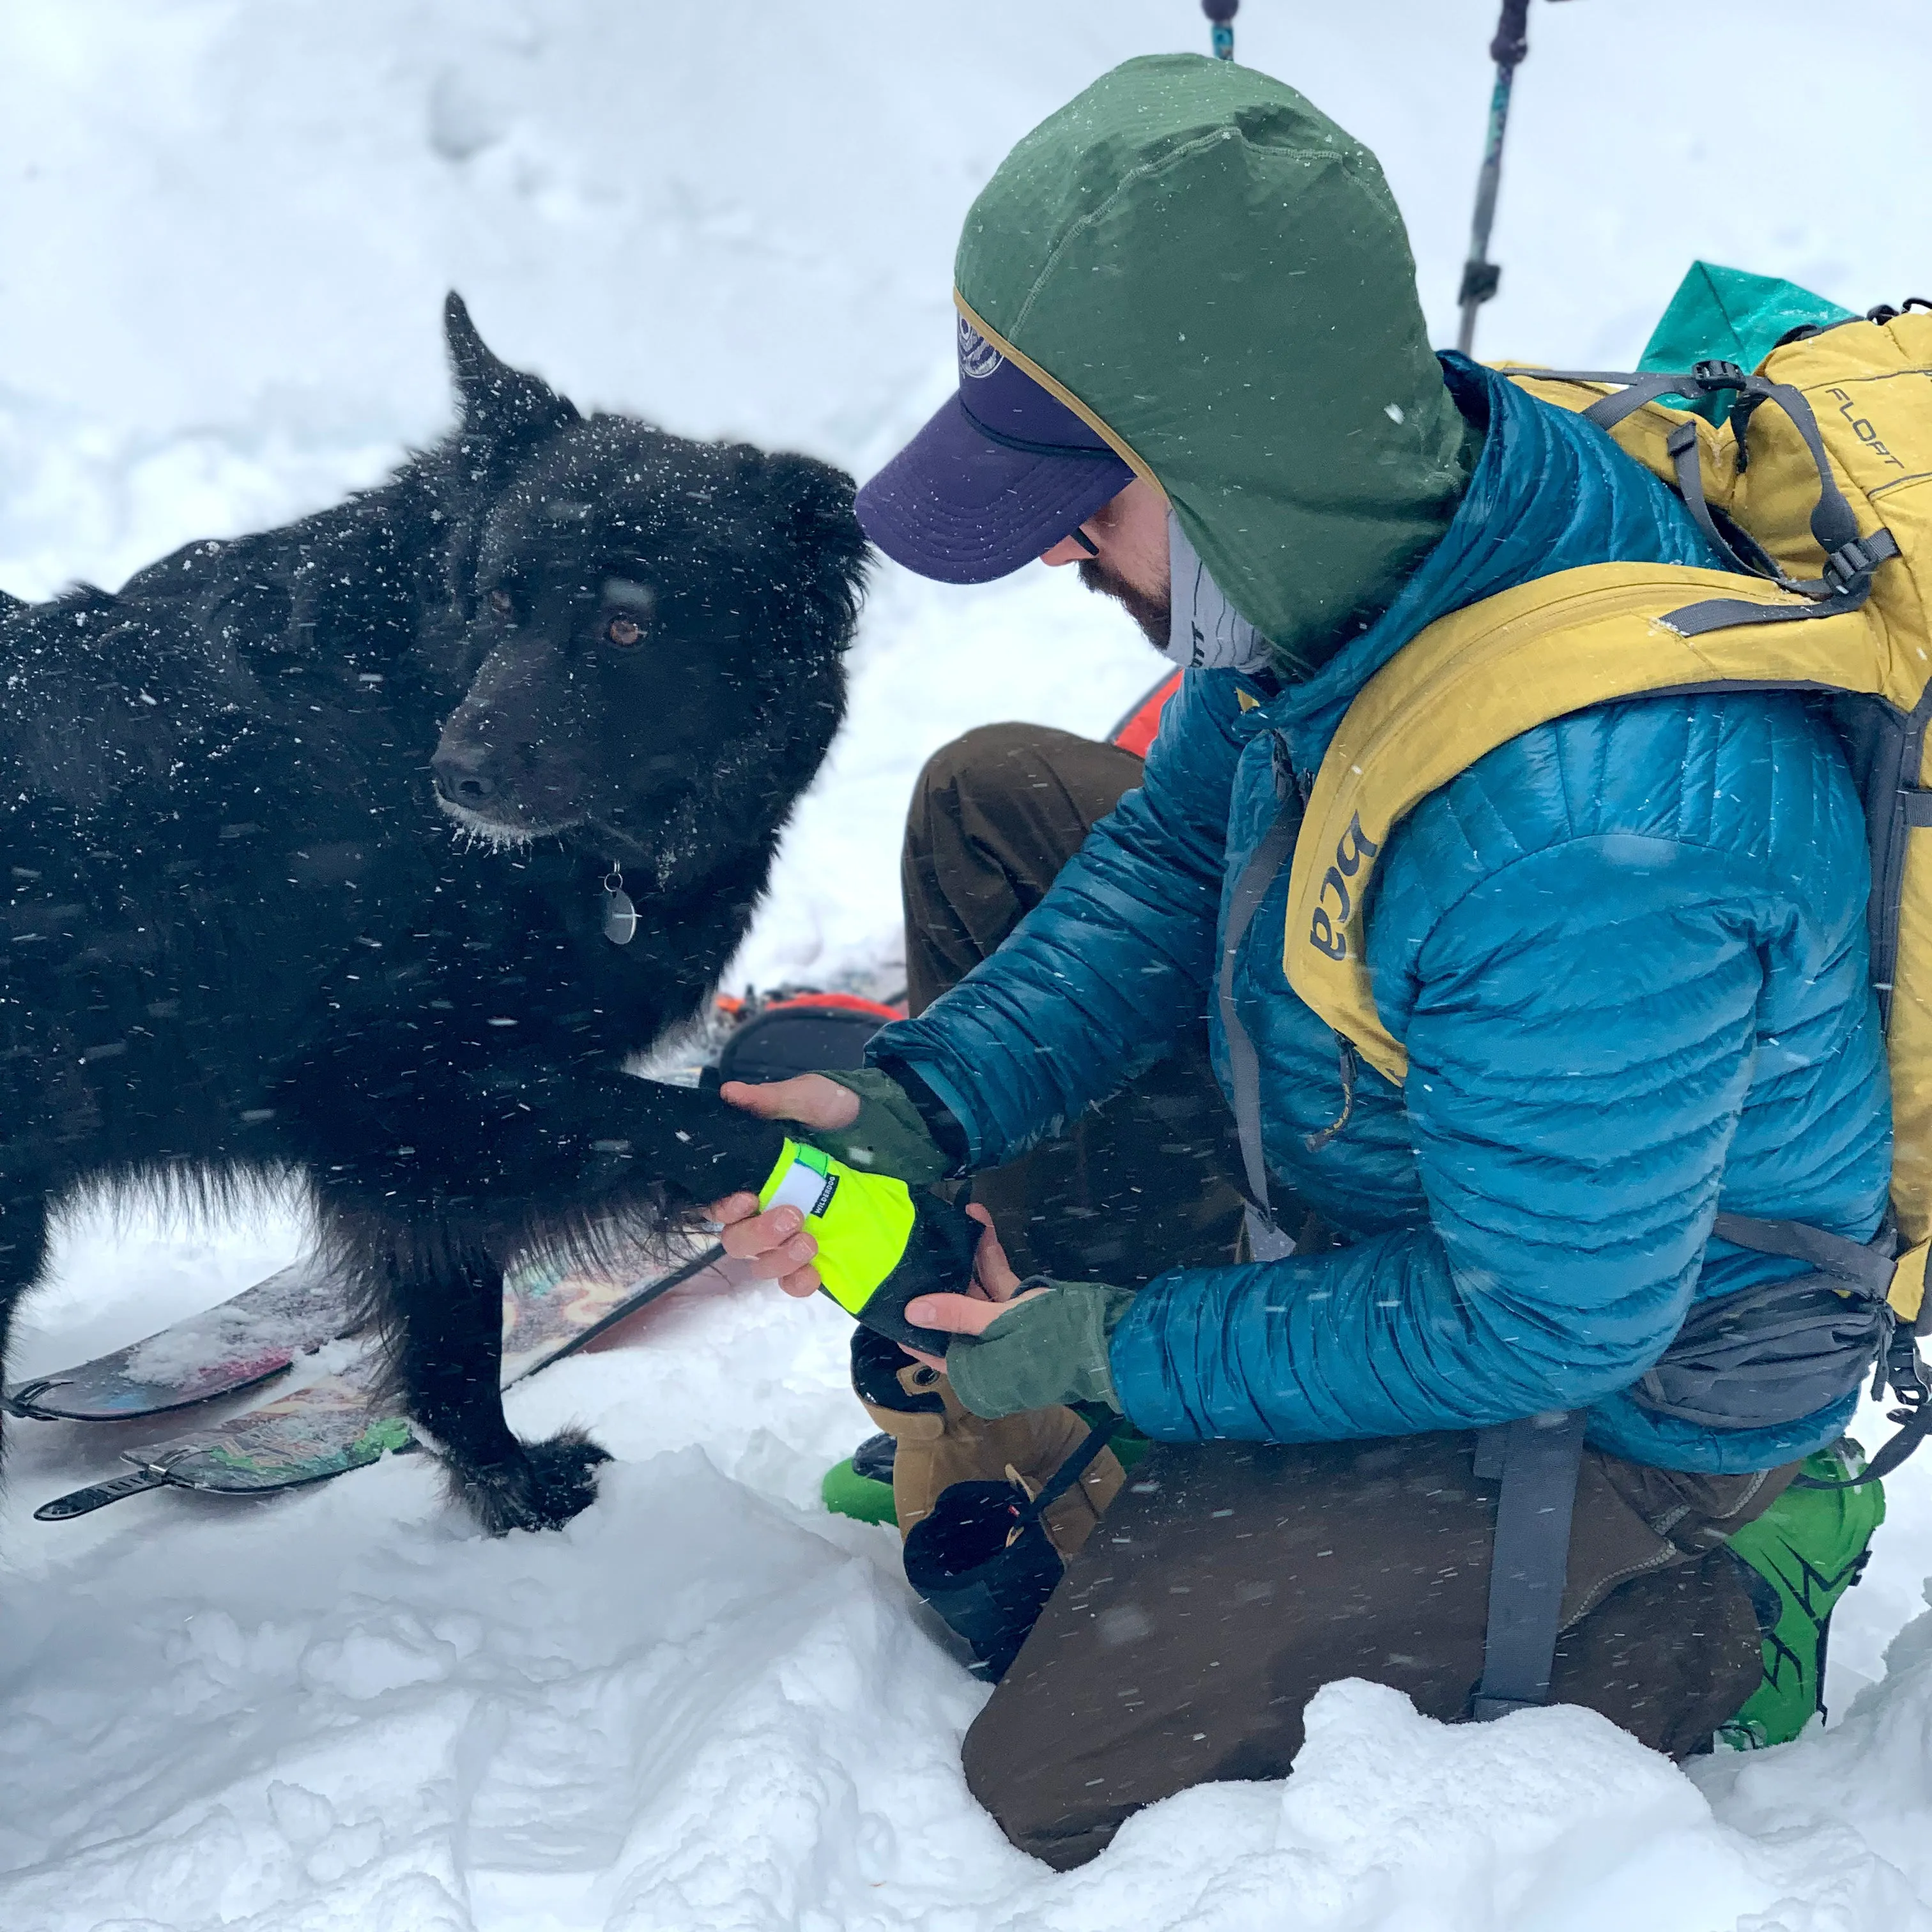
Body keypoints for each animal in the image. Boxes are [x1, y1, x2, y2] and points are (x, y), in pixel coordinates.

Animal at [0, 301, 861, 1530]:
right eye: (501, 599)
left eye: (626, 629)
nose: (456, 777)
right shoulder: (404, 1095)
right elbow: (702, 1127)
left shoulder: (420, 1141)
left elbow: (456, 1330)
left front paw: (501, 1481)